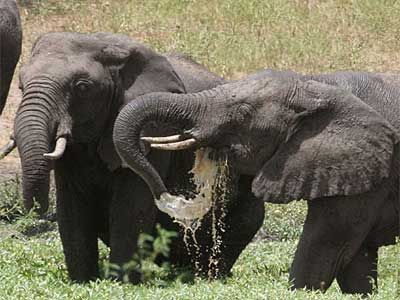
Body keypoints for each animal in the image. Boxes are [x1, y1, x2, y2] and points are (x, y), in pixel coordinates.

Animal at [11, 32, 266, 284]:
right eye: (21, 86)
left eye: (82, 87)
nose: (174, 199)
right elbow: (72, 208)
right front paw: (82, 282)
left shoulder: (155, 131)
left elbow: (130, 207)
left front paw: (120, 283)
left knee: (246, 221)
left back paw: (206, 275)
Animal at [112, 71, 400, 296]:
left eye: (243, 112)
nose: (167, 197)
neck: (316, 85)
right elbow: (356, 262)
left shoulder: (371, 167)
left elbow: (327, 243)